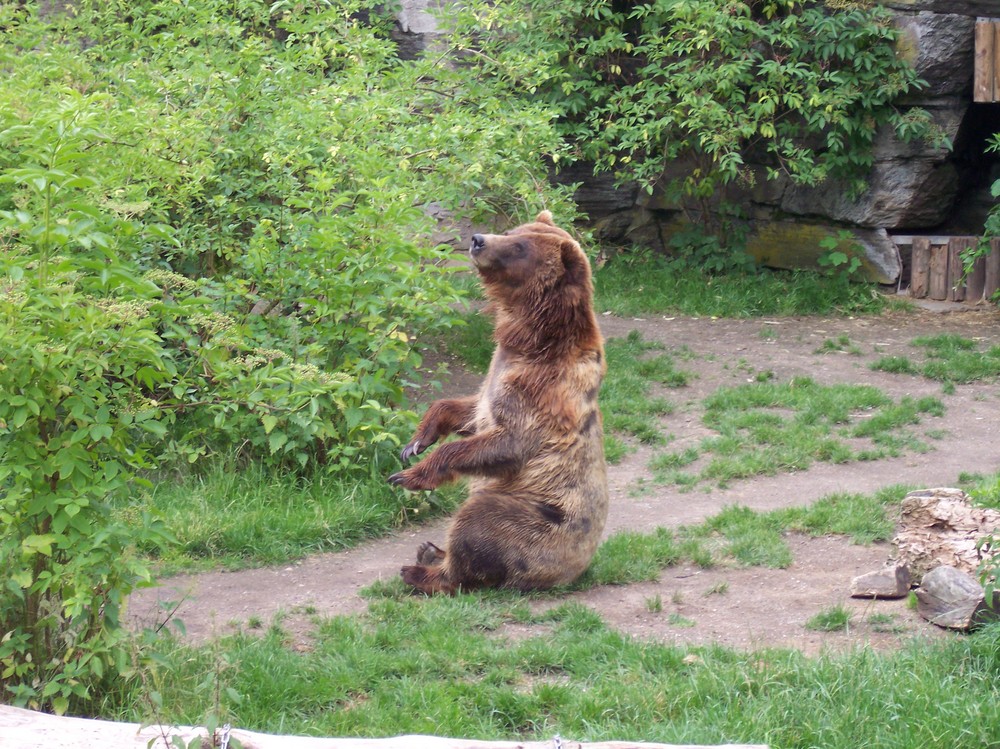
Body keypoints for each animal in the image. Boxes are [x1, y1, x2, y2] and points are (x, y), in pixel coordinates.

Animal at [388, 212, 608, 596]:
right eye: (513, 231)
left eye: (519, 247)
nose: (478, 239)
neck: (533, 339)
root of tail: (569, 574)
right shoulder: (498, 372)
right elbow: (469, 410)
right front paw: (415, 442)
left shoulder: (543, 392)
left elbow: (508, 441)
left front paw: (409, 475)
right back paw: (431, 551)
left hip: (537, 520)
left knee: (478, 518)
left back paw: (422, 570)